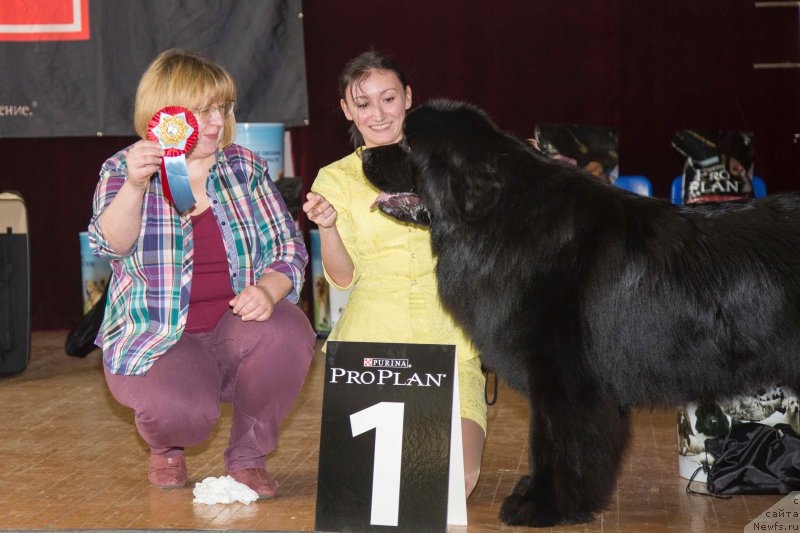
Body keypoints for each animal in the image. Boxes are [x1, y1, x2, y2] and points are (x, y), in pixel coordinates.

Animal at [360, 97, 800, 524]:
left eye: (405, 142)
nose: (363, 151)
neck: (497, 220)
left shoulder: (563, 377)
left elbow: (554, 442)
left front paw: (543, 507)